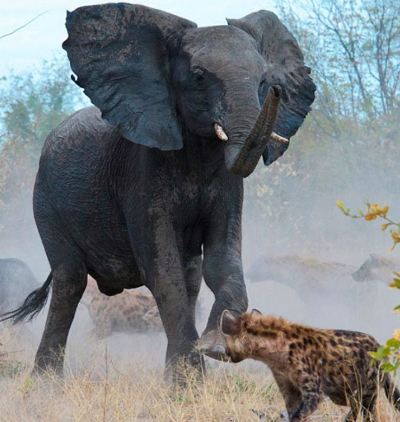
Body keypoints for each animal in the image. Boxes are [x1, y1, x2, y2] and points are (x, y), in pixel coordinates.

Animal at [0, 2, 316, 380]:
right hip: (45, 201)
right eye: (199, 76)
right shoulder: (140, 175)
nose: (275, 94)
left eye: (265, 80)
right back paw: (46, 383)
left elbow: (222, 258)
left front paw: (211, 349)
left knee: (191, 277)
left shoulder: (227, 186)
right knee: (70, 281)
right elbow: (162, 270)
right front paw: (191, 375)